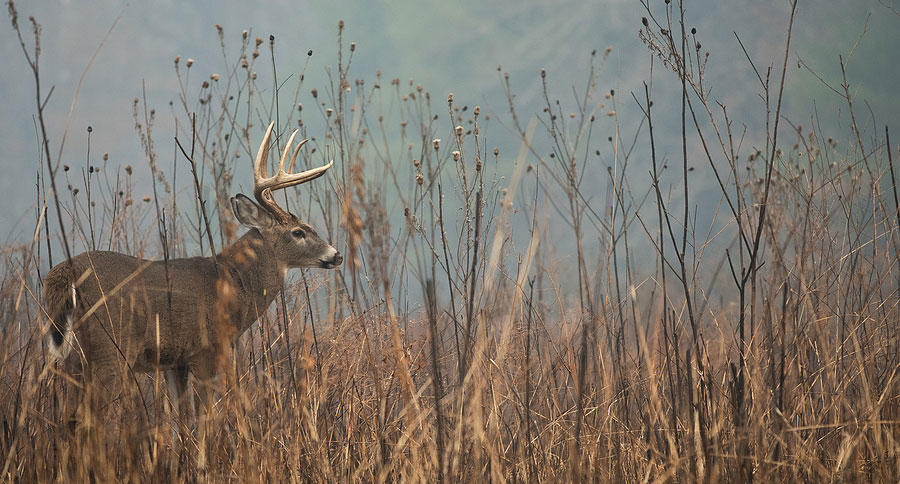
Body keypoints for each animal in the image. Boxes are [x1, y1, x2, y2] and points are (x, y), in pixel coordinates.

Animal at [41, 123, 342, 426]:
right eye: (298, 232)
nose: (336, 255)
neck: (233, 282)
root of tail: (64, 273)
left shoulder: (175, 362)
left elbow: (180, 421)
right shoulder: (206, 350)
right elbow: (204, 418)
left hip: (72, 358)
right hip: (110, 347)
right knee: (89, 420)